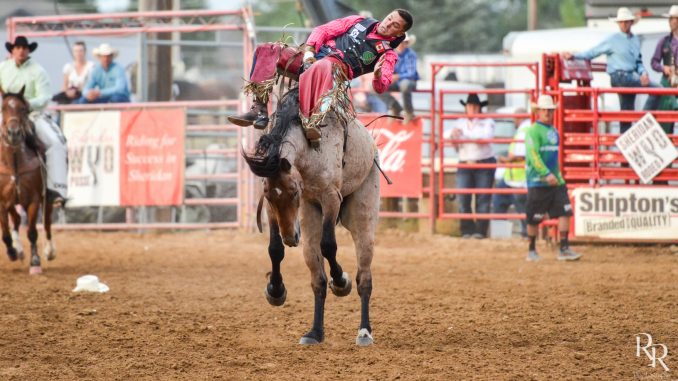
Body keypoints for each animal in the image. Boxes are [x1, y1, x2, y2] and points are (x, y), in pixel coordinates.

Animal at [0, 87, 55, 274]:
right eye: (3, 108)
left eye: (23, 109)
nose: (13, 133)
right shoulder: (2, 201)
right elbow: (5, 233)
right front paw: (12, 252)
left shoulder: (33, 200)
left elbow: (32, 232)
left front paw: (36, 261)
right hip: (11, 202)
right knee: (16, 219)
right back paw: (18, 250)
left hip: (46, 198)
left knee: (46, 221)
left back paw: (49, 250)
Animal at [244, 88, 382, 344]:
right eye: (269, 195)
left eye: (294, 191)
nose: (290, 238)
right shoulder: (272, 207)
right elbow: (274, 249)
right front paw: (275, 290)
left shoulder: (331, 198)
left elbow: (329, 246)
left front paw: (341, 281)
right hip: (309, 222)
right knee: (318, 279)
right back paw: (315, 332)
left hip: (363, 216)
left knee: (364, 277)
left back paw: (364, 331)